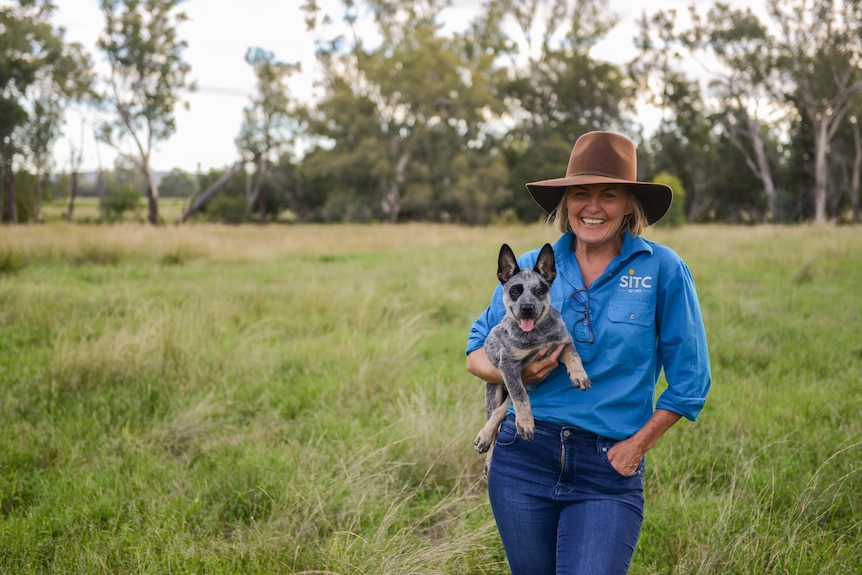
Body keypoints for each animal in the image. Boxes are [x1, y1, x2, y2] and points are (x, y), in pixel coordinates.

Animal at [476, 243, 592, 472]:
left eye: (539, 291)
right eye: (515, 290)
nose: (527, 308)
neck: (535, 335)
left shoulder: (561, 343)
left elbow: (574, 355)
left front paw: (579, 375)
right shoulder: (509, 365)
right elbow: (521, 396)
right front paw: (527, 424)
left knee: (501, 413)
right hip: (494, 391)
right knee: (495, 419)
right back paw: (486, 443)